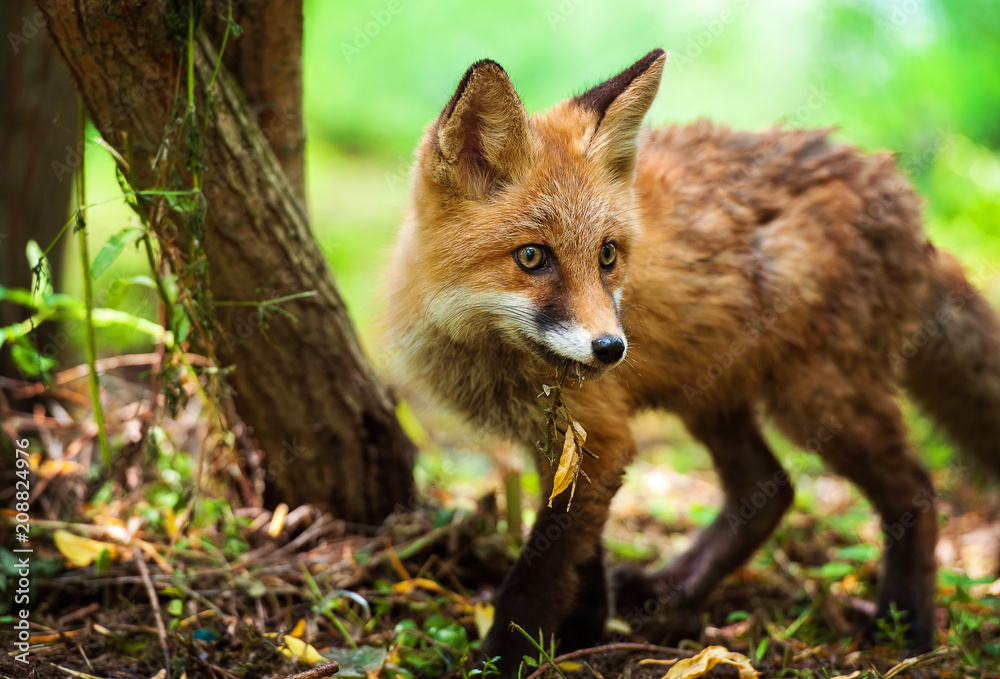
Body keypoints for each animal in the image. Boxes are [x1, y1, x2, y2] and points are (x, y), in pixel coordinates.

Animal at [382, 50, 1000, 676]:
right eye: (531, 257)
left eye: (607, 255)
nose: (612, 349)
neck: (487, 351)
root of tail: (899, 197)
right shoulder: (572, 441)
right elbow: (582, 560)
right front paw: (585, 633)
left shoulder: (598, 433)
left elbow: (537, 579)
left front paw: (505, 657)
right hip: (711, 395)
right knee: (770, 489)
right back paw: (671, 593)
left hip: (817, 402)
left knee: (916, 489)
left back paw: (905, 623)